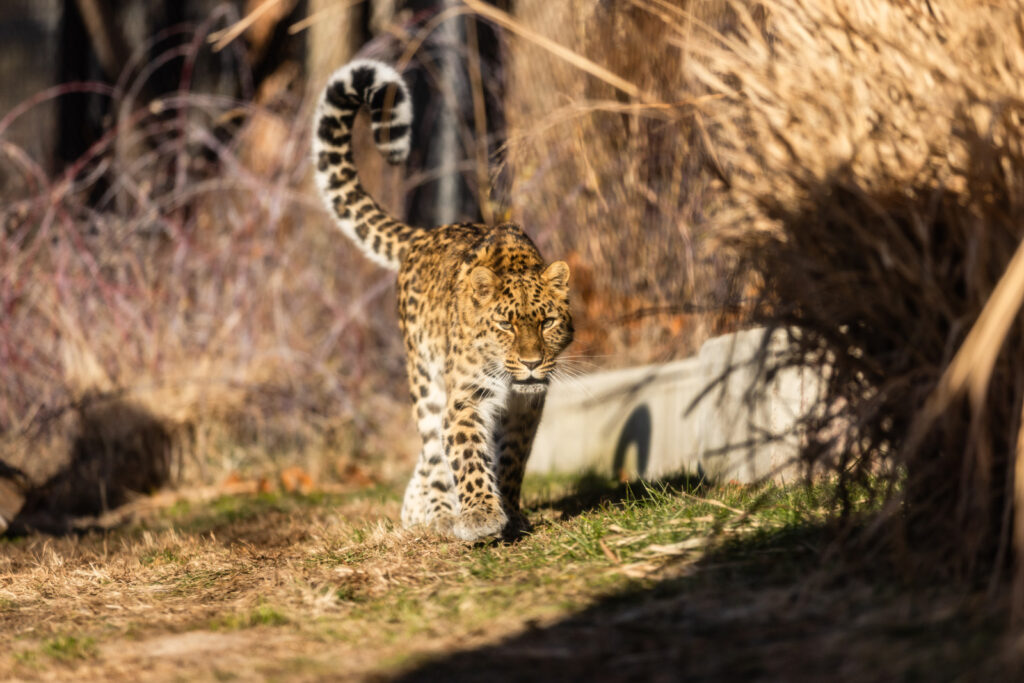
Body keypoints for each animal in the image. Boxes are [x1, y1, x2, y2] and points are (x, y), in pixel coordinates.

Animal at [312, 59, 573, 542]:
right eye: (505, 325)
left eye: (547, 322)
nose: (531, 363)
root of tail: (424, 234)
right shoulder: (465, 398)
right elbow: (467, 455)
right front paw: (481, 515)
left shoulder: (527, 407)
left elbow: (512, 460)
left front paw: (511, 510)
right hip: (426, 384)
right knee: (434, 451)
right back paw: (436, 512)